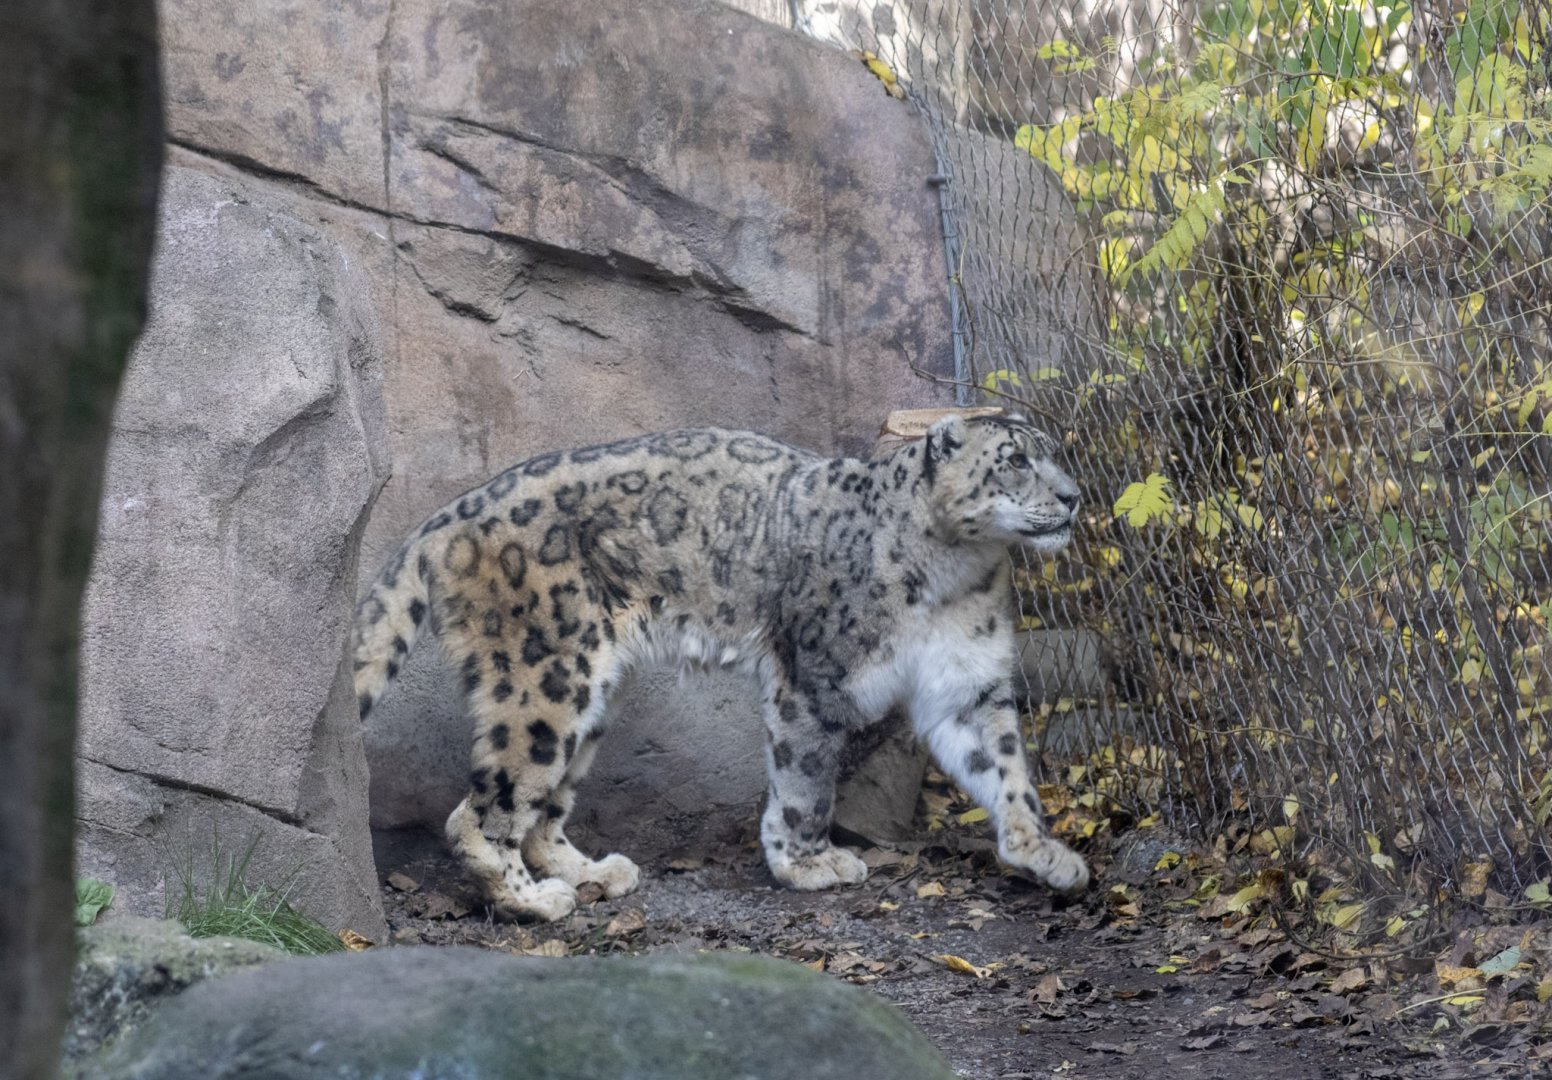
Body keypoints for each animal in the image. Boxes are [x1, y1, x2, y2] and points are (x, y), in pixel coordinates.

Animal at [352, 412, 1091, 921]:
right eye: (1015, 459)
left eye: (1054, 454)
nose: (1074, 496)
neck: (956, 573)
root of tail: (451, 516)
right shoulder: (812, 679)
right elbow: (805, 779)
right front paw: (808, 863)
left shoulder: (967, 683)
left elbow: (1004, 768)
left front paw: (1044, 853)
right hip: (545, 679)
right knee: (481, 811)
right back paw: (534, 901)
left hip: (593, 695)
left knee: (544, 805)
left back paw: (592, 871)